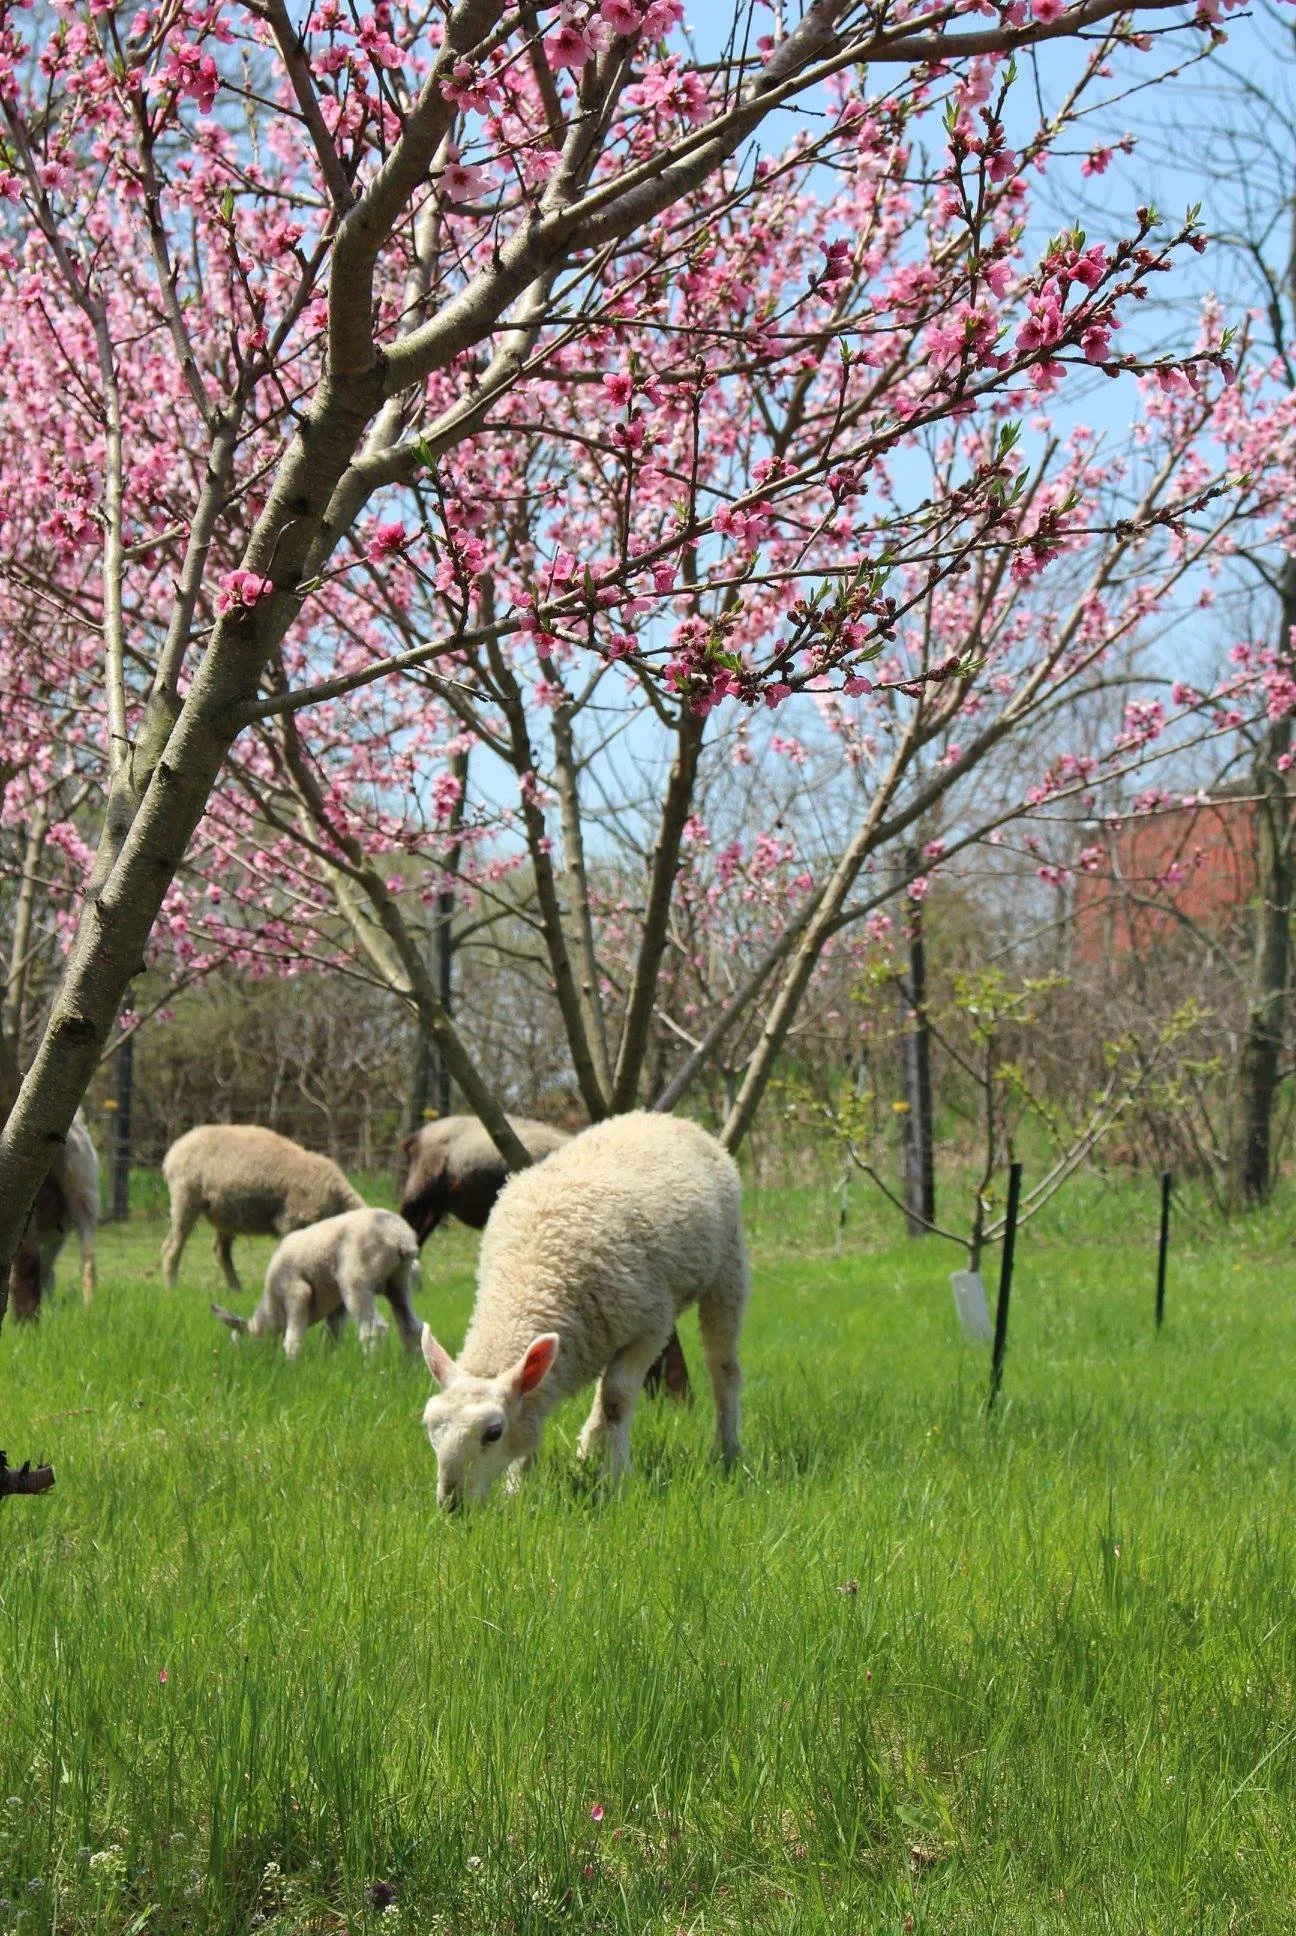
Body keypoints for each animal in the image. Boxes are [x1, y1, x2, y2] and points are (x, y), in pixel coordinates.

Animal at [161, 1124, 364, 1292]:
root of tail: (177, 1147)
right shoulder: (290, 1221)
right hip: (185, 1197)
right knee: (172, 1247)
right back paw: (172, 1288)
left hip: (225, 1212)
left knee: (221, 1251)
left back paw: (236, 1289)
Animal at [212, 1207, 422, 1359]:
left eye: (239, 1344)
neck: (272, 1308)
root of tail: (401, 1237)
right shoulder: (337, 1307)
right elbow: (331, 1335)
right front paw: (328, 1360)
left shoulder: (297, 1293)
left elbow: (292, 1339)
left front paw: (291, 1366)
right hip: (398, 1281)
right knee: (411, 1327)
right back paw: (411, 1369)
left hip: (356, 1279)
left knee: (374, 1330)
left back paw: (370, 1368)